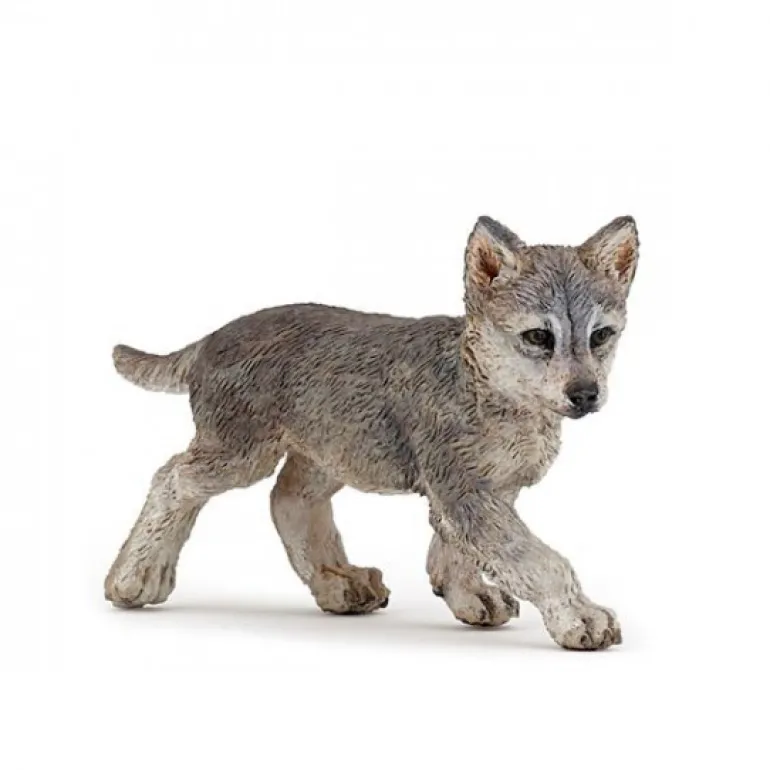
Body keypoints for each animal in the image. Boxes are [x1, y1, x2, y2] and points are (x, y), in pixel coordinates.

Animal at [105, 215, 638, 650]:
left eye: (601, 335)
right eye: (538, 337)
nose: (585, 394)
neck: (486, 384)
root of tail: (211, 338)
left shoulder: (484, 492)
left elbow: (455, 552)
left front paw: (469, 597)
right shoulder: (464, 491)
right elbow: (539, 559)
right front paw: (580, 617)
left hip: (329, 450)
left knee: (289, 500)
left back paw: (339, 581)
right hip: (240, 452)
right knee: (172, 478)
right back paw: (135, 577)